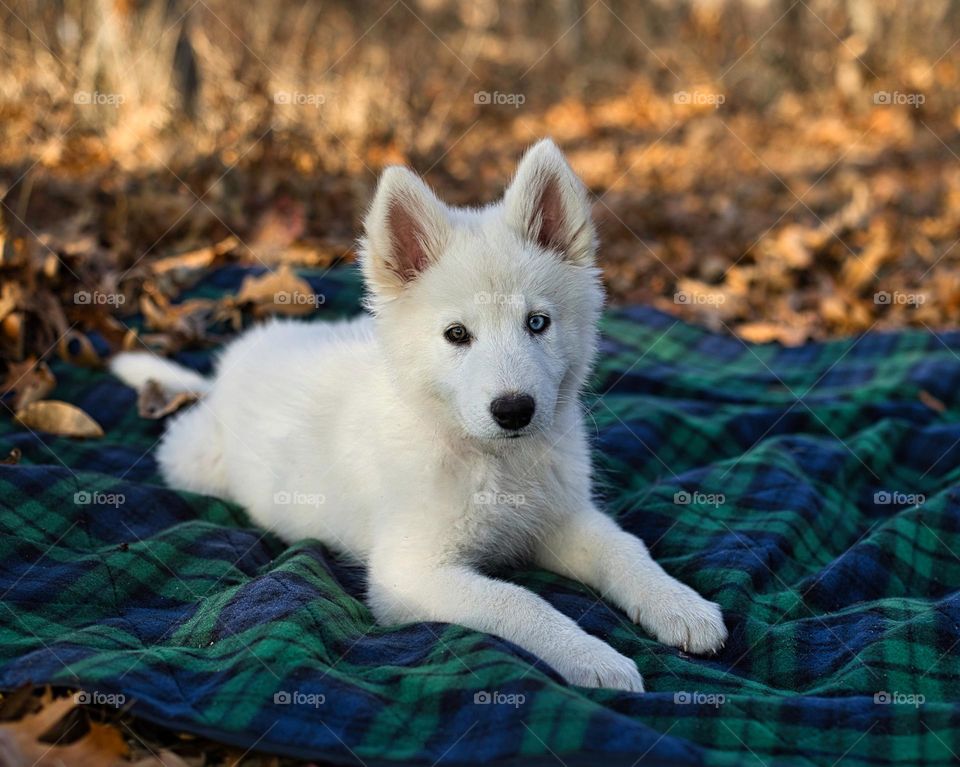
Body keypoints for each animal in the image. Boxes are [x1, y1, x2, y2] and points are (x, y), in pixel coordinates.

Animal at [110, 141, 728, 692]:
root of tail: (228, 369)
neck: (490, 458)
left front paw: (680, 605)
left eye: (537, 323)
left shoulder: (559, 519)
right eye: (457, 335)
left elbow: (624, 549)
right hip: (194, 460)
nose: (514, 410)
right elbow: (520, 601)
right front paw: (593, 657)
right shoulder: (410, 572)